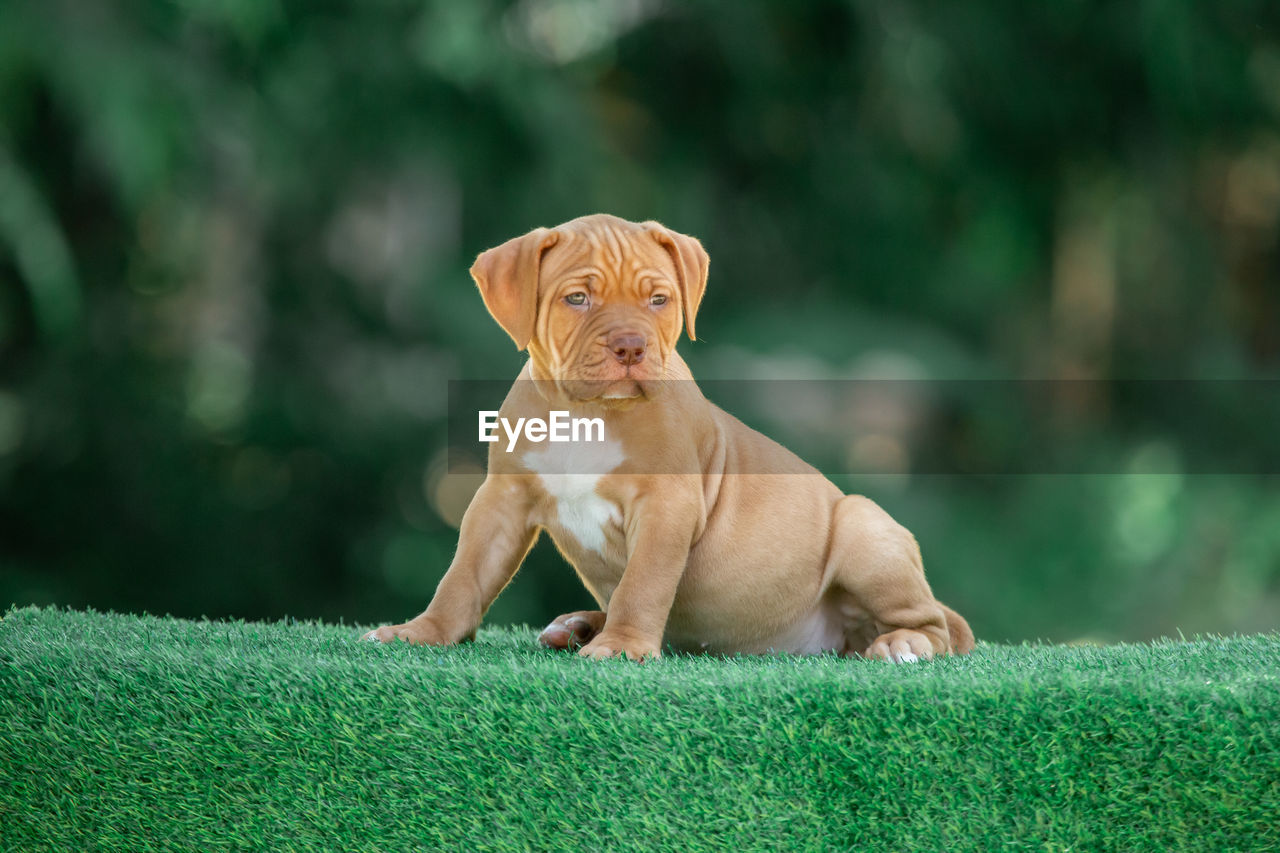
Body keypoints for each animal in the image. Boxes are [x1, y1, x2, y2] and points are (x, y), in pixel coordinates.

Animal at [366, 213, 972, 666]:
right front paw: (424, 631)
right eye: (577, 300)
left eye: (658, 301)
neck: (586, 413)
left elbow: (644, 583)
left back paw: (903, 643)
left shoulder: (666, 505)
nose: (631, 347)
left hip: (864, 528)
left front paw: (623, 646)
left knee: (935, 625)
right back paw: (579, 625)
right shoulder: (502, 500)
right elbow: (464, 575)